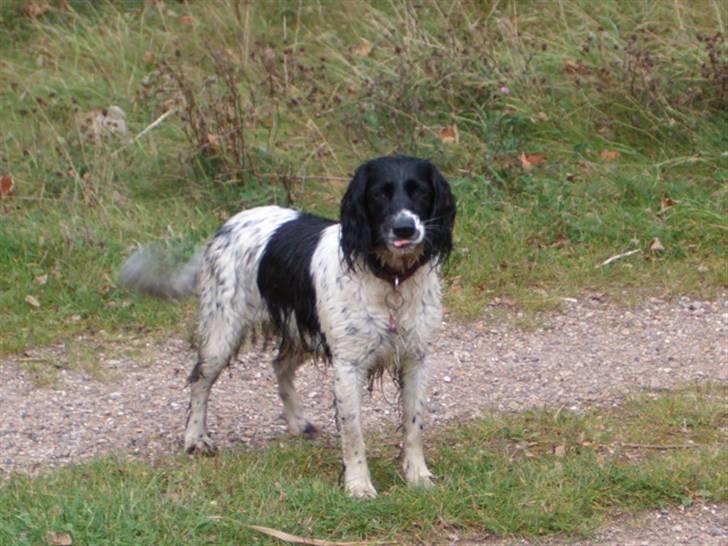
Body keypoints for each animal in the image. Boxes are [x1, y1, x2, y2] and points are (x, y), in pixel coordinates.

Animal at [123, 154, 458, 498]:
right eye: (380, 193)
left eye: (419, 191)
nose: (406, 228)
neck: (390, 279)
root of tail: (225, 226)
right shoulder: (348, 366)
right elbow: (353, 434)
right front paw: (358, 486)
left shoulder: (416, 358)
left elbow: (414, 425)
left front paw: (417, 476)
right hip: (222, 332)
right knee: (199, 380)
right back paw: (195, 438)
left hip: (302, 330)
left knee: (279, 365)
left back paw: (297, 422)